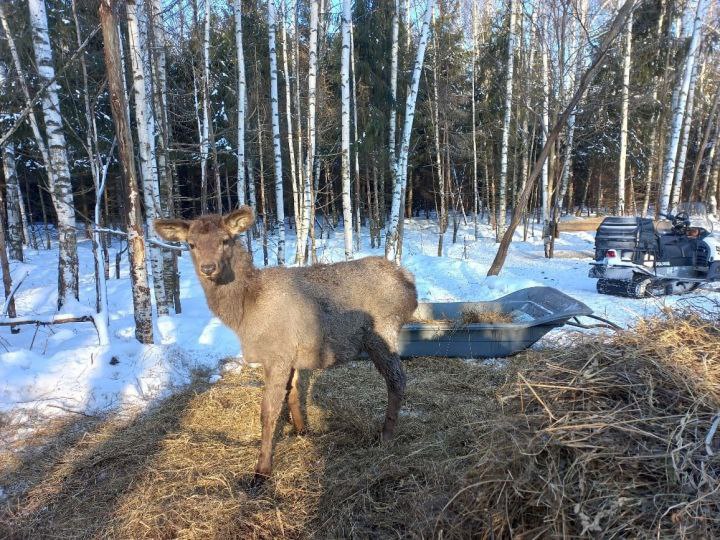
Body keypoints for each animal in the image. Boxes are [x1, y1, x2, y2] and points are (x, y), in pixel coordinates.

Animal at [155, 207, 420, 486]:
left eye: (225, 240)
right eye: (191, 244)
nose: (208, 267)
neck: (244, 314)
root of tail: (410, 284)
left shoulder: (277, 354)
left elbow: (268, 411)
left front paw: (261, 470)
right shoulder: (290, 354)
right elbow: (292, 393)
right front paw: (302, 430)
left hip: (383, 332)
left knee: (397, 380)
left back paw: (386, 435)